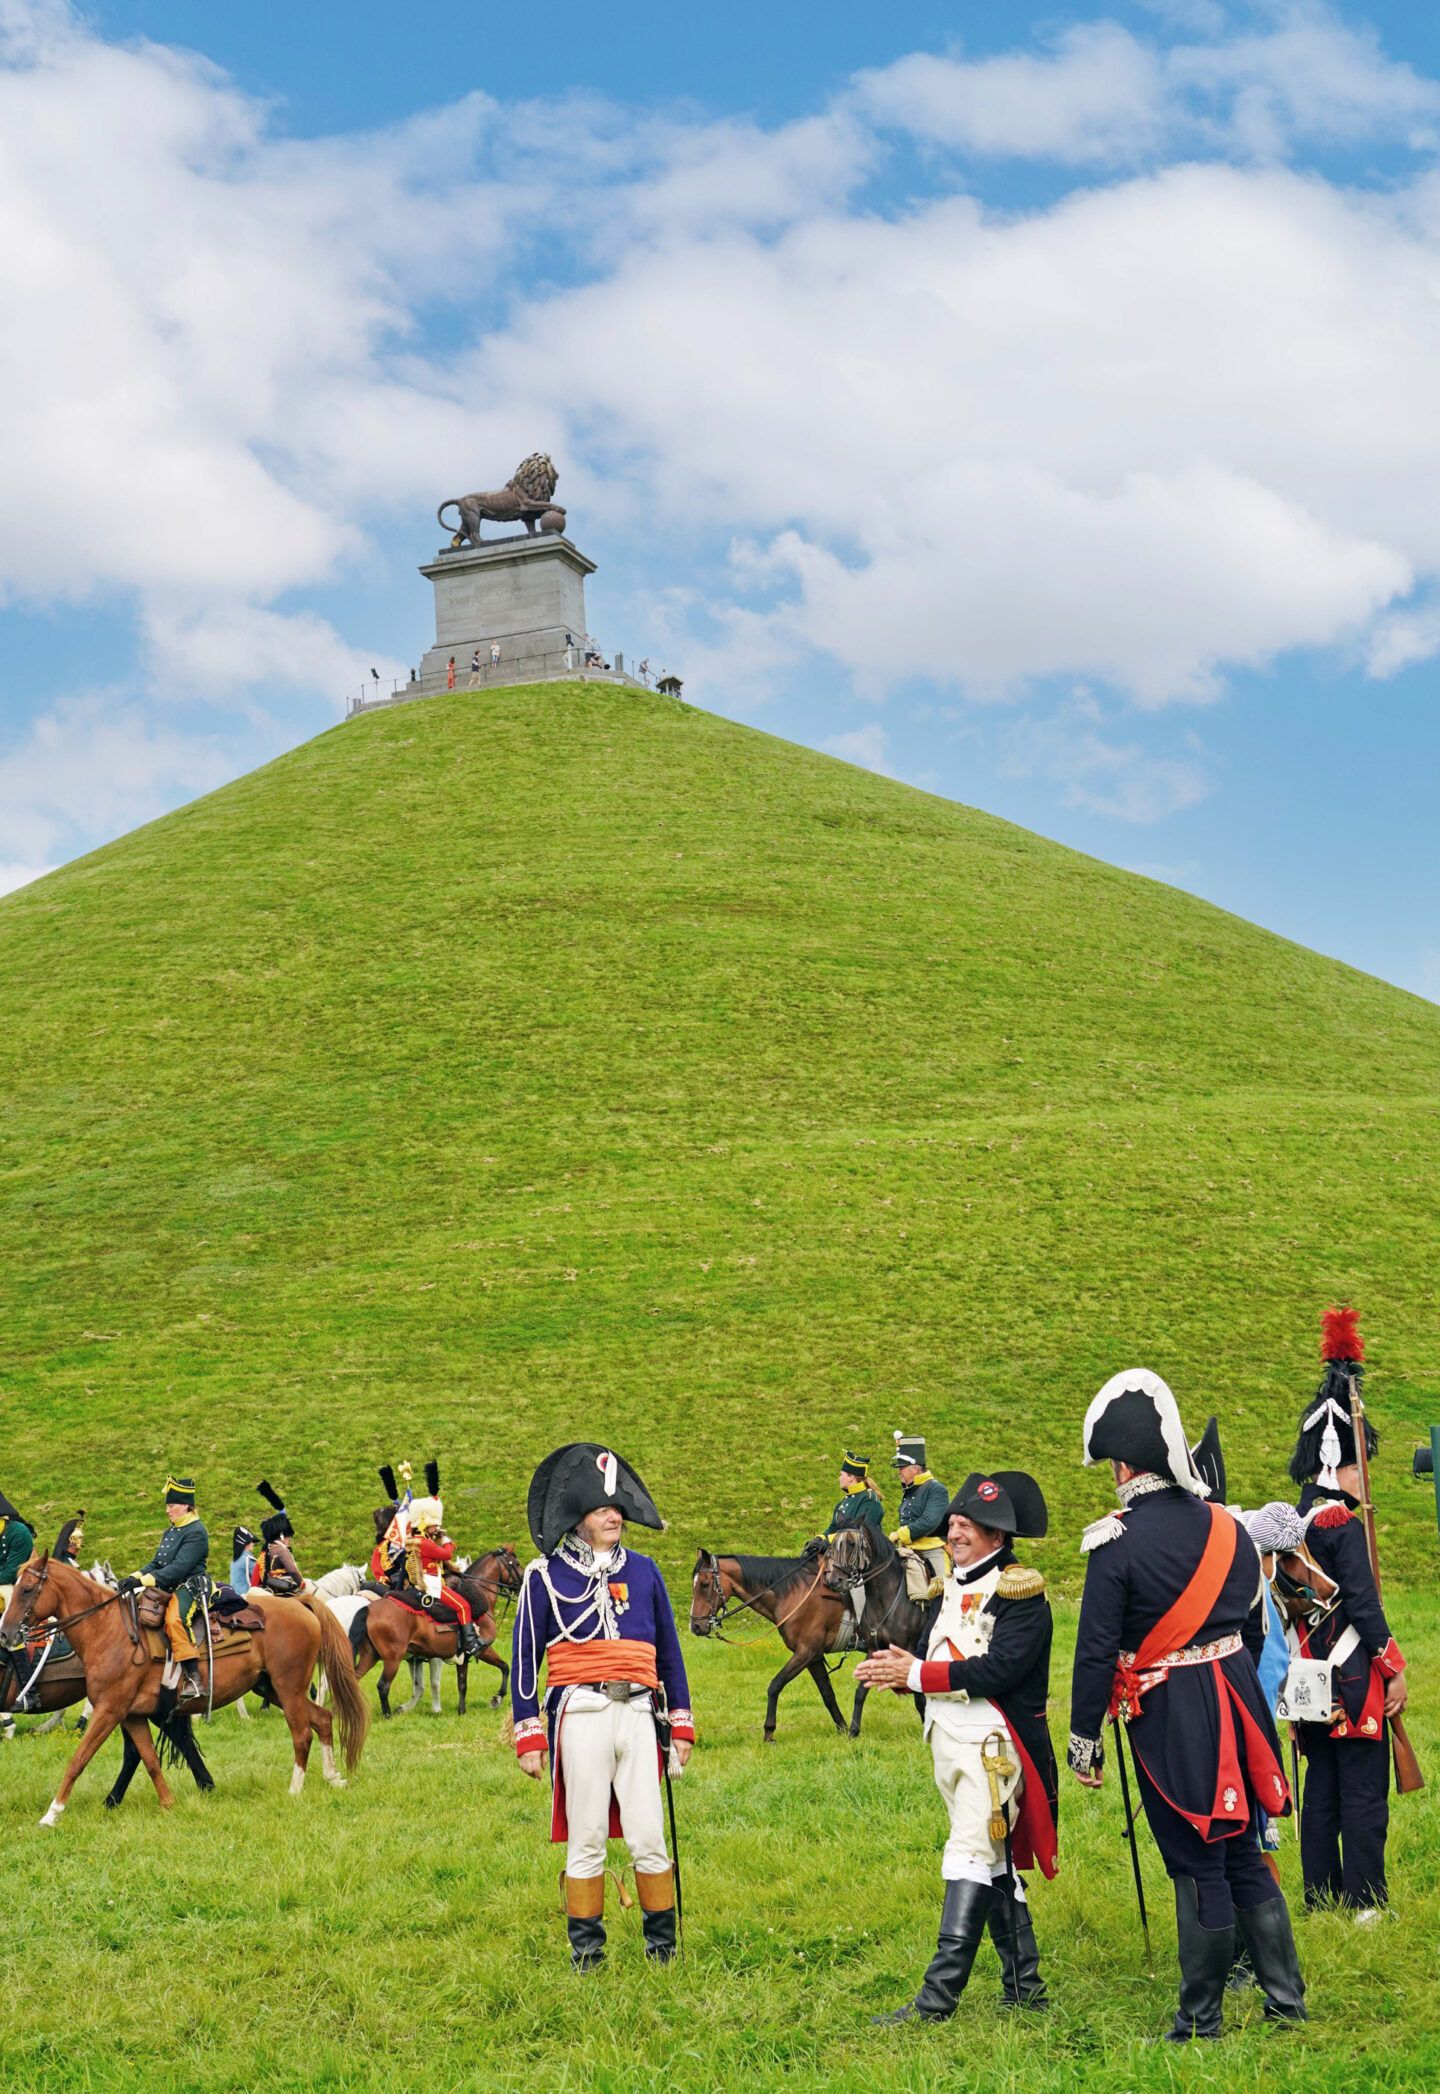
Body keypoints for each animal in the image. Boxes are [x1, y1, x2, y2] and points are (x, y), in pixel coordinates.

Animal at [0, 1549, 368, 1825]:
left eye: (28, 1590)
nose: (6, 1633)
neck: (108, 1631)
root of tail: (298, 1602)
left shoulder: (109, 1711)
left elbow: (79, 1759)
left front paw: (52, 1813)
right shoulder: (131, 1716)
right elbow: (149, 1759)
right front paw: (168, 1803)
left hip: (288, 1687)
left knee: (302, 1733)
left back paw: (295, 1789)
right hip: (271, 1689)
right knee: (322, 1718)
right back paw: (333, 1777)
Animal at [349, 1549, 523, 1725]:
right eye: (516, 1564)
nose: (521, 1586)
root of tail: (368, 1608)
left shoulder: (462, 1657)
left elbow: (463, 1683)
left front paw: (462, 1711)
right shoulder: (481, 1649)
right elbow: (505, 1667)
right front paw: (497, 1698)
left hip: (370, 1656)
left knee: (354, 1680)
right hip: (393, 1658)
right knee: (383, 1686)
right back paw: (388, 1716)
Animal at [690, 1549, 870, 1742]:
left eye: (704, 1584)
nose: (695, 1626)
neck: (795, 1593)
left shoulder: (805, 1653)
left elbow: (775, 1685)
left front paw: (769, 1731)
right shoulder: (813, 1658)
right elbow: (827, 1694)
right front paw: (842, 1728)